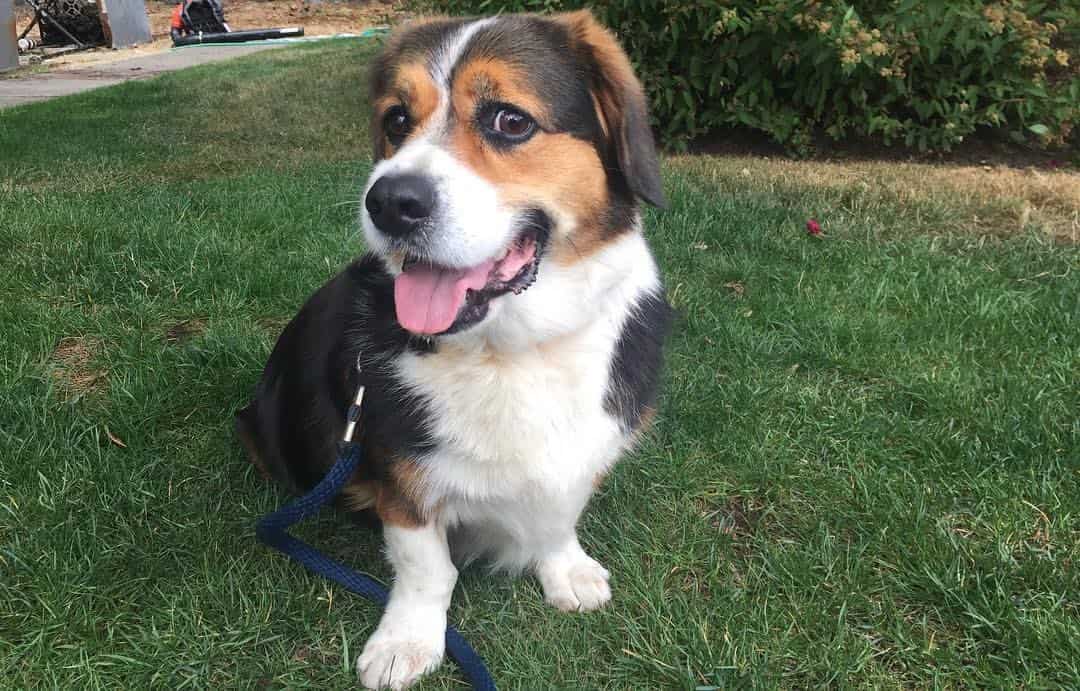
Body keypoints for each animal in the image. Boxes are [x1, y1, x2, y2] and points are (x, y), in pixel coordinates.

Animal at [239, 12, 669, 691]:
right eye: (396, 120)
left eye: (510, 120)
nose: (389, 202)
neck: (512, 351)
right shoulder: (401, 476)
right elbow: (426, 569)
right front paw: (406, 644)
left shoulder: (587, 453)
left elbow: (558, 520)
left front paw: (567, 573)